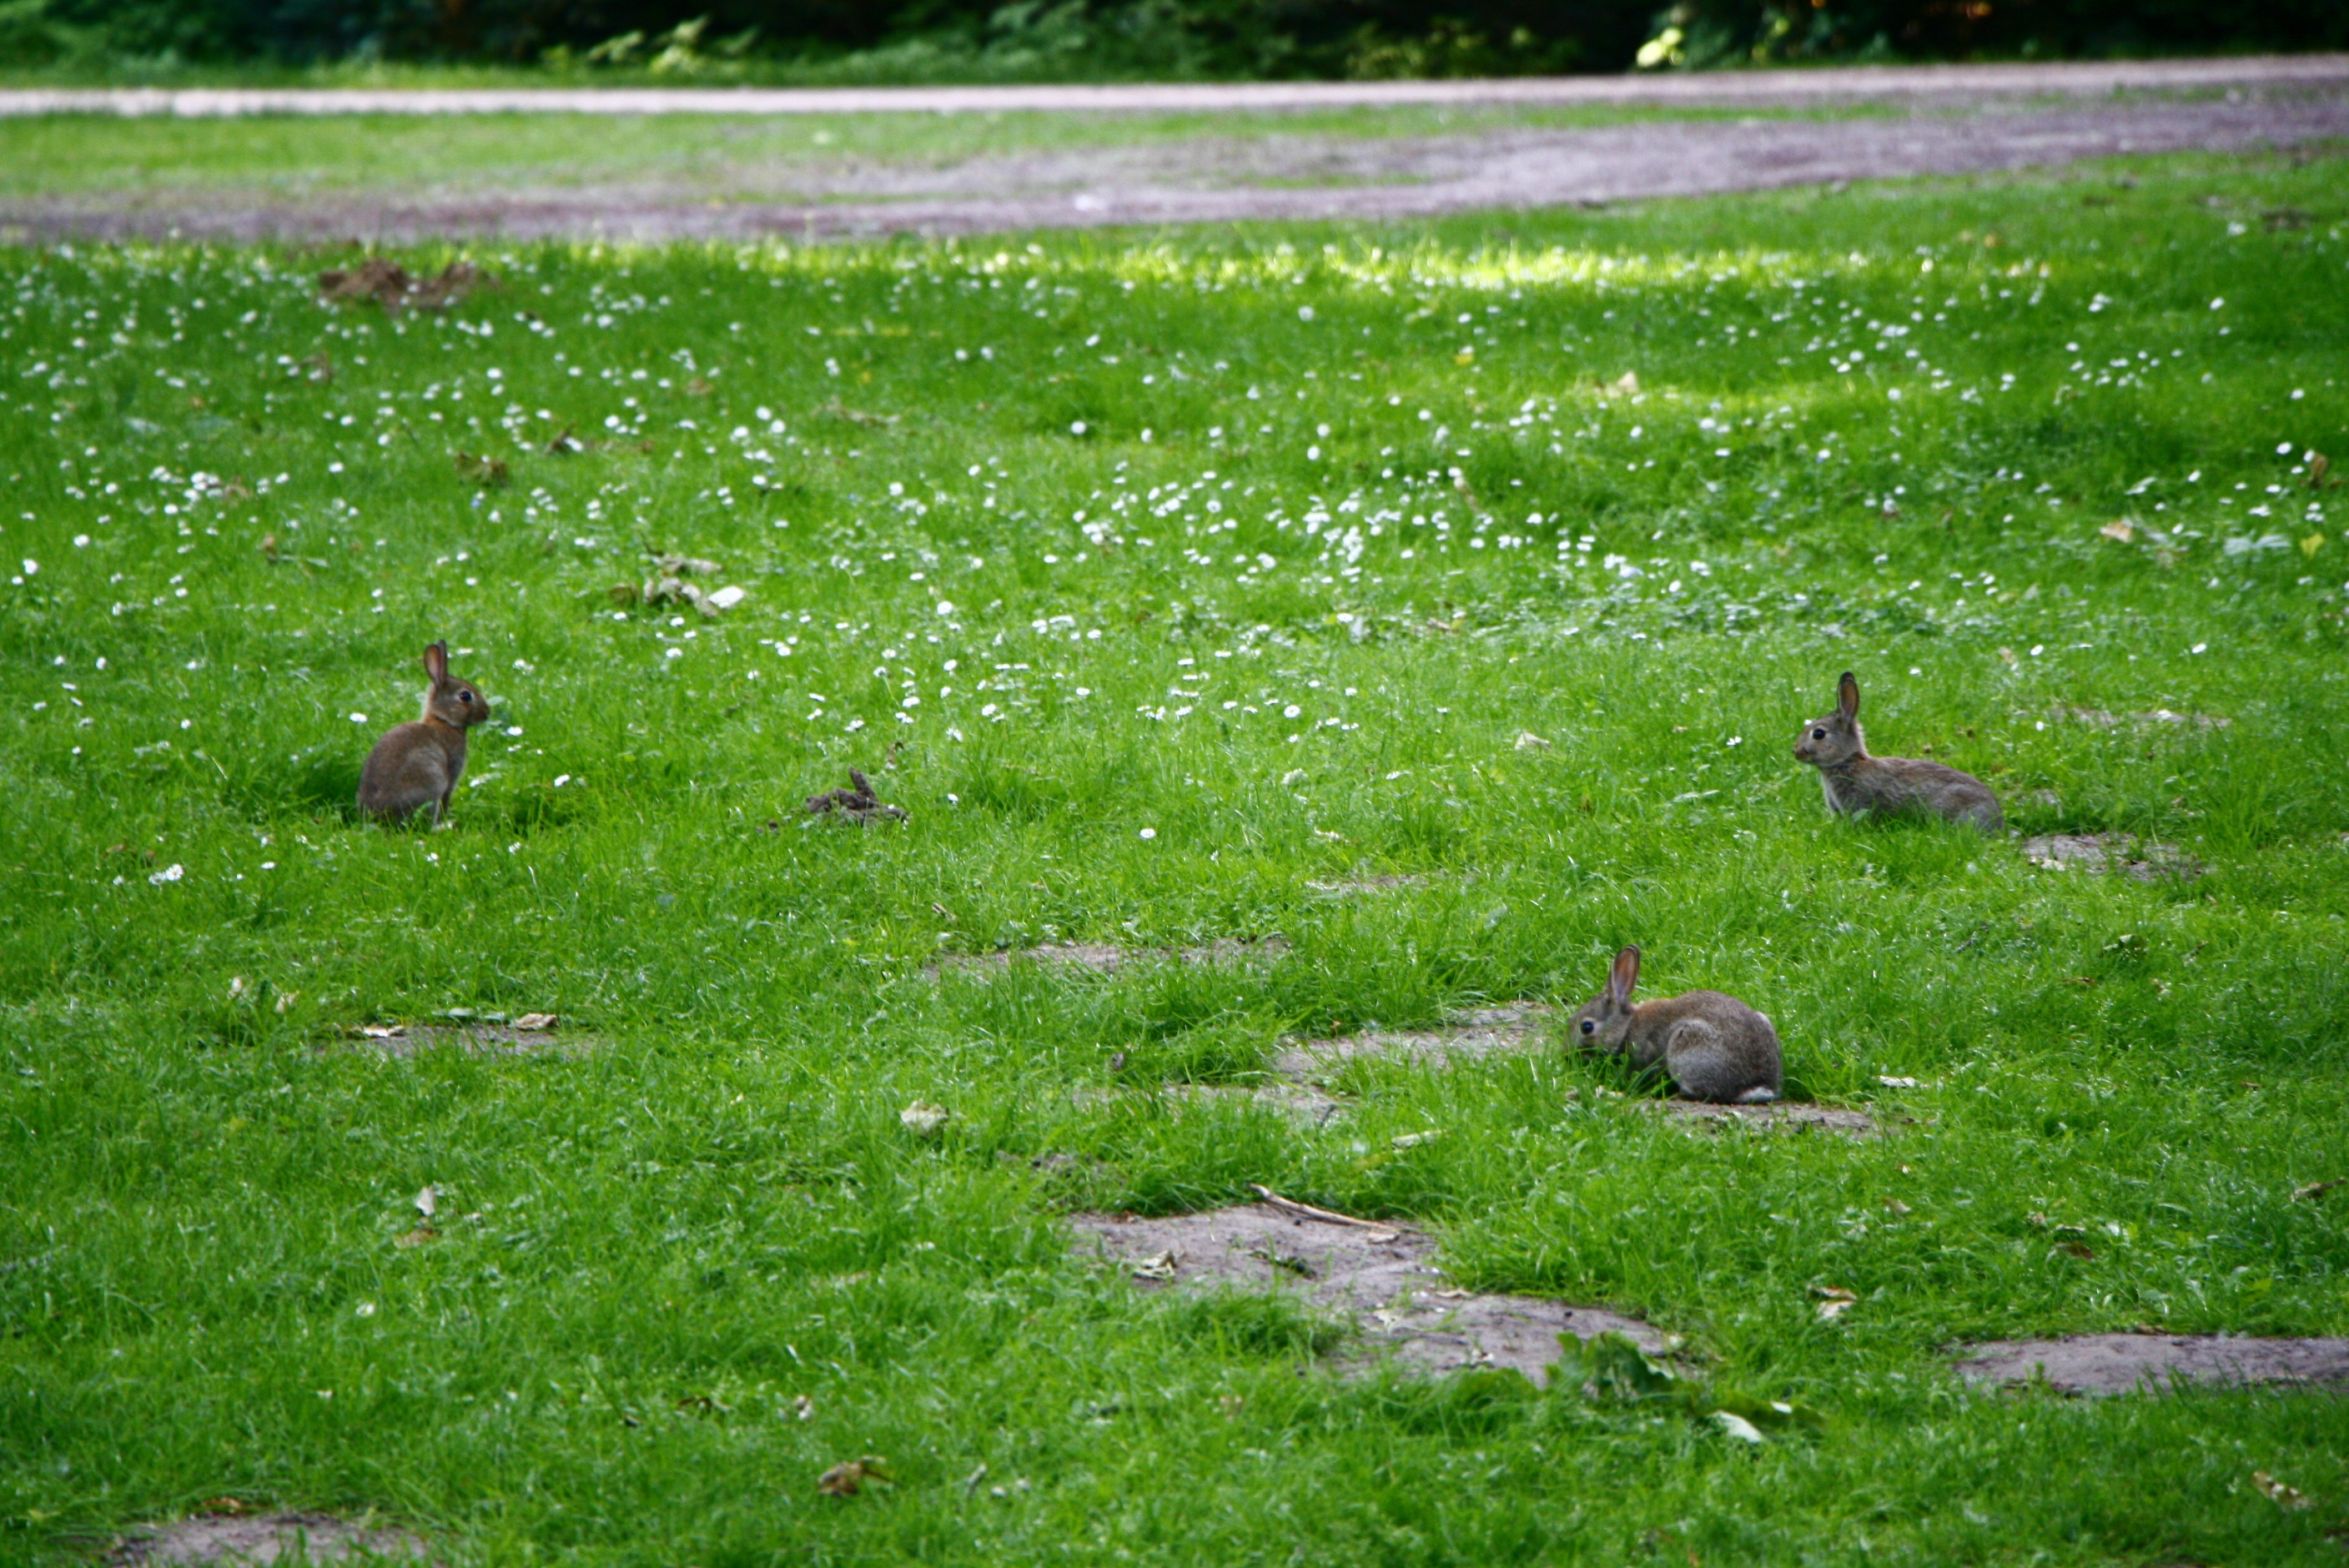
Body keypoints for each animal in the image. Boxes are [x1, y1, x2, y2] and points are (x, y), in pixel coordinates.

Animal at [356, 640, 489, 826]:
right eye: (465, 696)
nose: (487, 713)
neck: (443, 720)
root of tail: (378, 815)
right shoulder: (450, 777)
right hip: (429, 786)